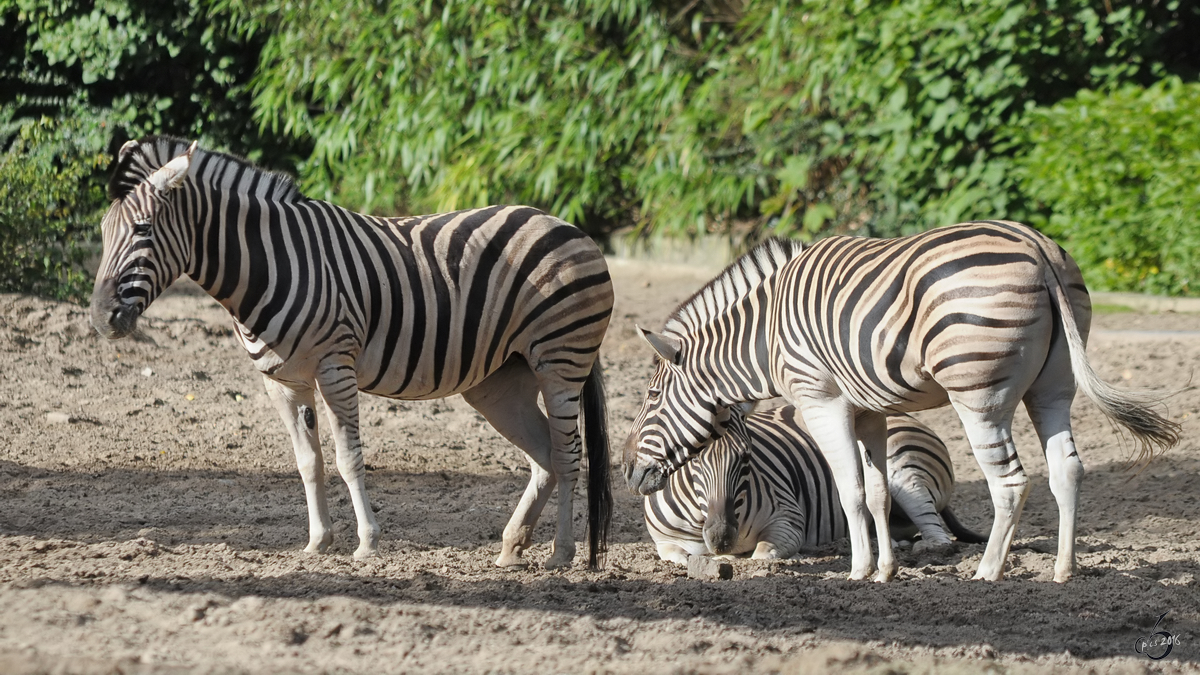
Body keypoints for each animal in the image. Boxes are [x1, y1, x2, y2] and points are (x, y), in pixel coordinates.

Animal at [90, 136, 614, 566]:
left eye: (142, 230)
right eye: (101, 232)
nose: (100, 318)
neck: (268, 264)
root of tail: (564, 223)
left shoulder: (333, 367)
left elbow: (348, 458)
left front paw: (366, 542)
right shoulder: (282, 382)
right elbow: (309, 462)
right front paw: (317, 542)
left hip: (561, 362)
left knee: (568, 453)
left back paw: (562, 553)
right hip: (500, 381)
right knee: (545, 455)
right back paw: (511, 545)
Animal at [648, 403, 984, 562]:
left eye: (746, 457)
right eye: (692, 460)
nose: (721, 538)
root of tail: (908, 417)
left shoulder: (788, 516)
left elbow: (762, 552)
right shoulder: (664, 542)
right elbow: (679, 555)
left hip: (905, 471)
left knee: (937, 534)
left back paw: (922, 548)